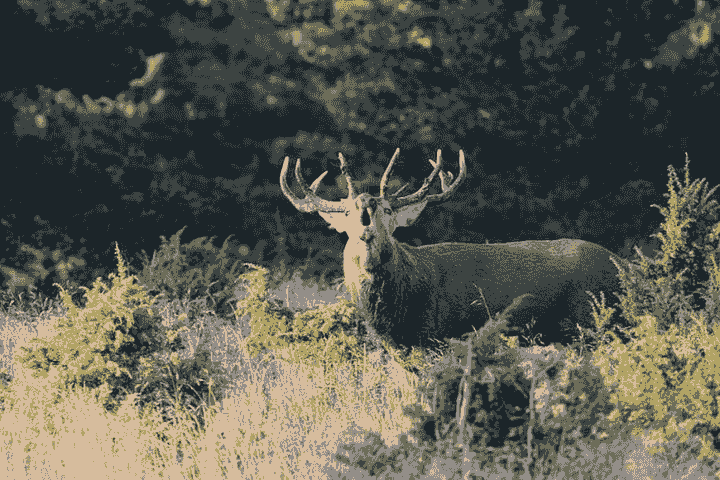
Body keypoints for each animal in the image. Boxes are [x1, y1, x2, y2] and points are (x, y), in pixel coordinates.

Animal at [280, 148, 621, 349]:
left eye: (387, 210)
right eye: (348, 213)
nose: (366, 227)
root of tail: (622, 266)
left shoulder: (440, 334)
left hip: (591, 321)